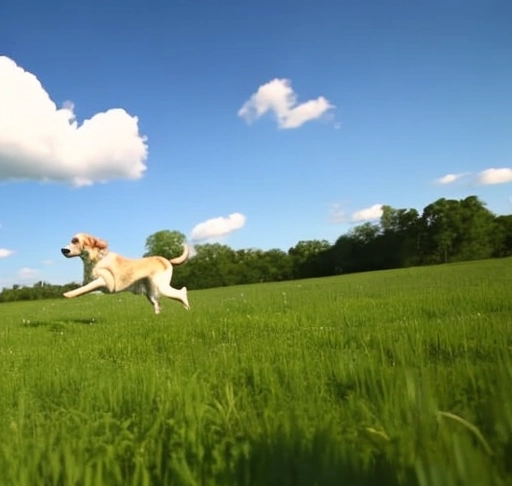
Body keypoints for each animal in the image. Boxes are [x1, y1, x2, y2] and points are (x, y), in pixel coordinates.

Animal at [61, 233, 190, 316]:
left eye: (76, 241)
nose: (63, 250)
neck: (96, 259)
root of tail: (167, 260)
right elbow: (86, 288)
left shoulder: (106, 282)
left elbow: (85, 288)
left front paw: (68, 294)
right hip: (151, 293)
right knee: (158, 304)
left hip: (162, 287)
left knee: (181, 293)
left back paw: (187, 308)